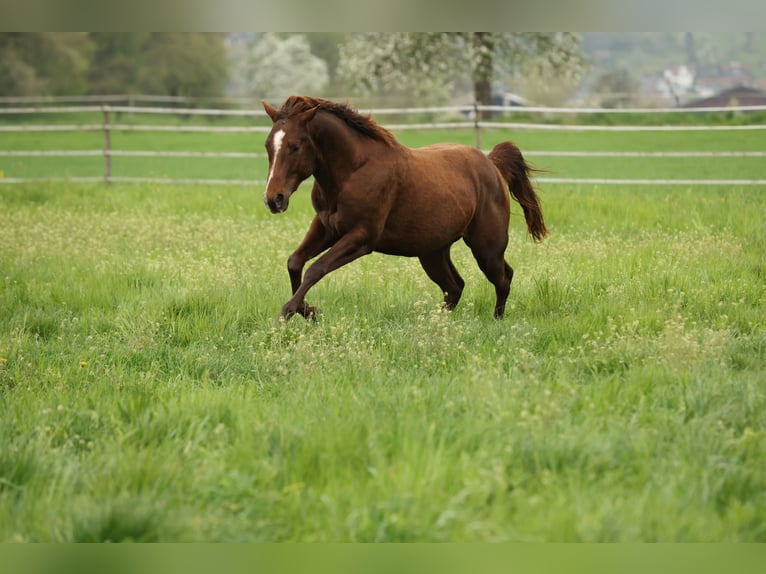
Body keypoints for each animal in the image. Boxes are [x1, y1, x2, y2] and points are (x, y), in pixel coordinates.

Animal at [261, 95, 547, 320]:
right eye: (267, 146)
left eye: (295, 146)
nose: (274, 199)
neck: (353, 171)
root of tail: (491, 163)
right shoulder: (325, 227)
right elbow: (295, 262)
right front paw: (309, 311)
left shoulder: (361, 237)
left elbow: (315, 269)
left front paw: (288, 313)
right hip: (432, 252)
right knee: (455, 286)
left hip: (486, 247)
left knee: (503, 277)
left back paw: (496, 320)